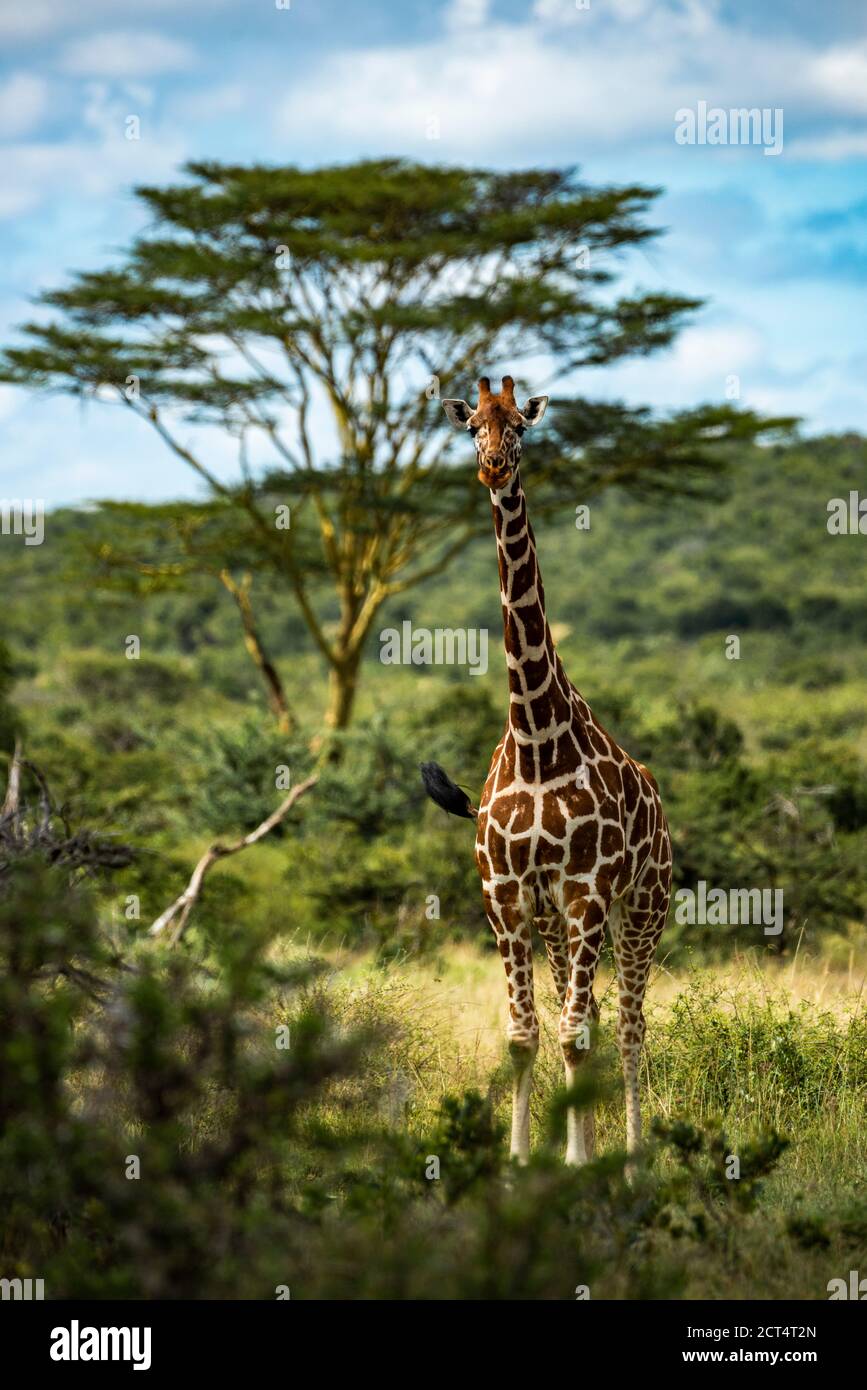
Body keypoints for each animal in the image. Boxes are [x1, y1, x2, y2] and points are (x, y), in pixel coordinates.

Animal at [421, 375, 672, 1166]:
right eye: (472, 425)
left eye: (522, 430)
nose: (494, 468)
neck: (535, 738)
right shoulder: (505, 896)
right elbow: (526, 1037)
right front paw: (522, 1163)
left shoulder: (587, 892)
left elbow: (576, 1036)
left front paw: (580, 1162)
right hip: (558, 922)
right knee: (583, 1013)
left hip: (642, 907)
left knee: (626, 1028)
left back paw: (631, 1160)